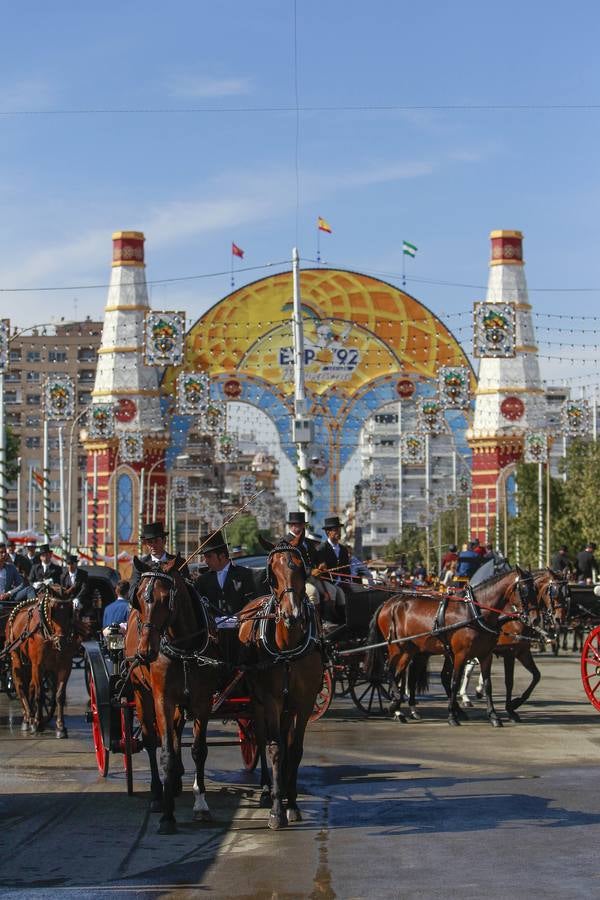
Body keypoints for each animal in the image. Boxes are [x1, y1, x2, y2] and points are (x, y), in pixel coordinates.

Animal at [6, 584, 79, 740]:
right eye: (52, 611)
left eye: (70, 610)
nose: (62, 641)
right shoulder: (38, 665)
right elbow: (39, 694)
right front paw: (37, 724)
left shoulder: (65, 666)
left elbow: (59, 695)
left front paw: (60, 727)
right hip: (17, 659)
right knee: (21, 686)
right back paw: (28, 718)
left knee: (30, 687)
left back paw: (30, 716)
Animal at [126, 556, 220, 836]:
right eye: (137, 596)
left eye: (166, 597)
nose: (146, 651)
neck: (185, 648)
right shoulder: (162, 700)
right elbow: (164, 751)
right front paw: (167, 816)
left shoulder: (202, 701)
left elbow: (199, 750)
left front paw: (201, 803)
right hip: (141, 692)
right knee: (150, 739)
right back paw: (158, 793)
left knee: (177, 731)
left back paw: (176, 781)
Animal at [238, 536, 324, 828]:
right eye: (271, 574)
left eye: (302, 569)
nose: (292, 615)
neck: (287, 646)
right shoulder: (271, 701)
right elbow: (274, 749)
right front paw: (276, 810)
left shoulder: (305, 701)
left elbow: (294, 749)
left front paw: (292, 803)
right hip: (257, 702)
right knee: (261, 737)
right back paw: (267, 789)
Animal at [366, 572, 540, 728]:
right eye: (524, 590)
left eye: (536, 590)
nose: (535, 619)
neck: (473, 612)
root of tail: (389, 602)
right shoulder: (461, 655)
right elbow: (454, 682)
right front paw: (452, 715)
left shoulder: (486, 655)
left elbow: (488, 685)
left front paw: (494, 716)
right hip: (396, 647)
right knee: (388, 670)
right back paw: (396, 704)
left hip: (410, 651)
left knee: (399, 675)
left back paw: (397, 706)